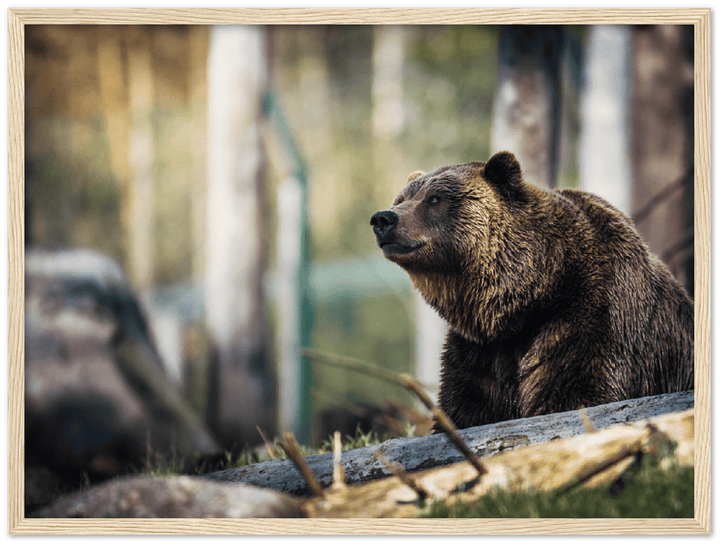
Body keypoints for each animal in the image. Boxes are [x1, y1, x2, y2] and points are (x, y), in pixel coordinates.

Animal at [370, 151, 694, 430]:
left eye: (435, 198)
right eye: (402, 198)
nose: (383, 218)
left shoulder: (595, 317)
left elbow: (577, 391)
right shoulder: (481, 351)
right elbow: (465, 406)